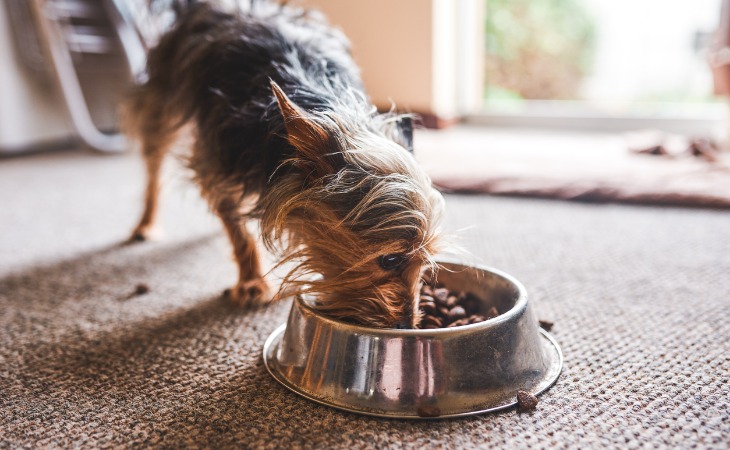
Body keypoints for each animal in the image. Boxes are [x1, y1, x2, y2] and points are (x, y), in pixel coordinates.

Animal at [123, 1, 444, 328]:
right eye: (390, 259)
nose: (407, 325)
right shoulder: (218, 161)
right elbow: (236, 227)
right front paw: (251, 282)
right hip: (163, 103)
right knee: (154, 163)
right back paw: (145, 223)